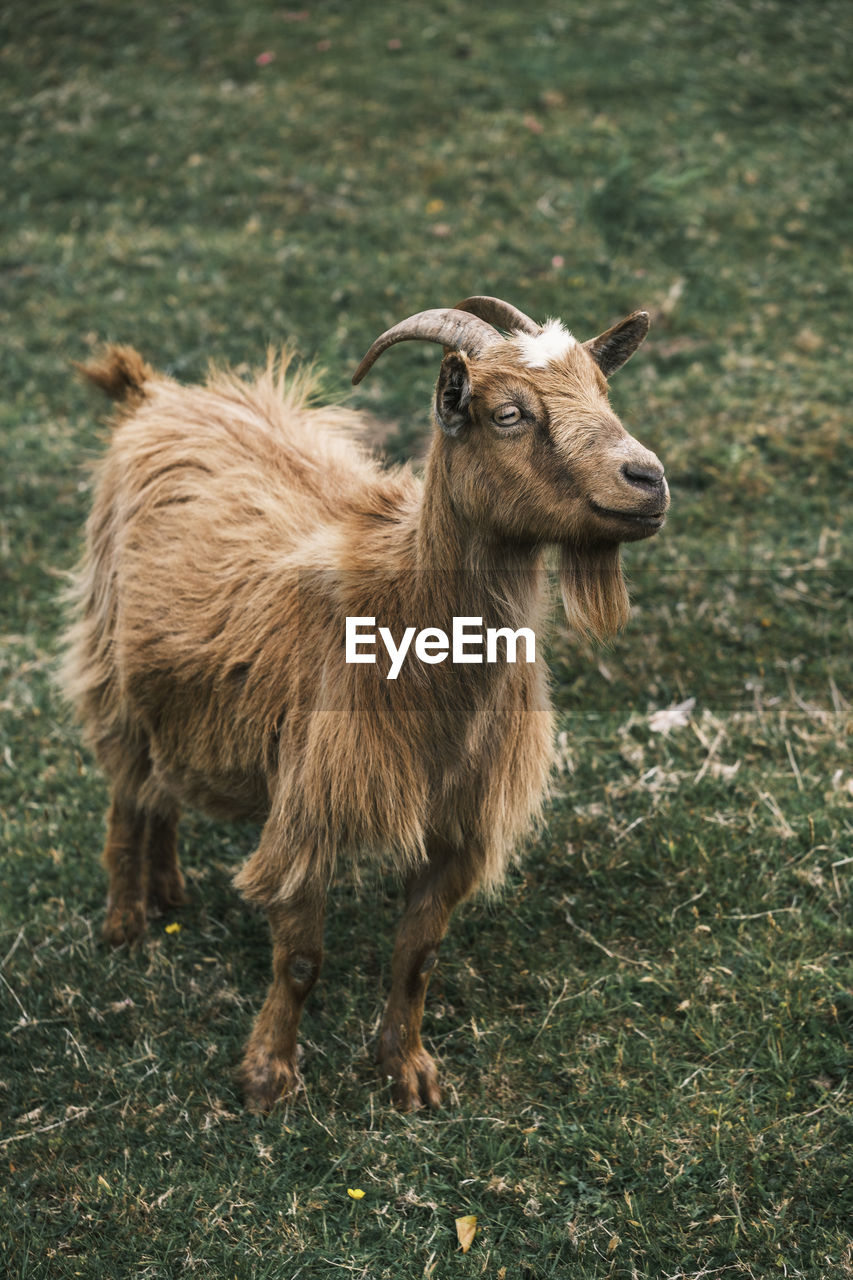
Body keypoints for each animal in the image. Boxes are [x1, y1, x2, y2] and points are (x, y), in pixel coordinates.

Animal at [63, 299, 666, 1111]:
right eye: (507, 414)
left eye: (604, 392)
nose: (648, 480)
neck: (403, 613)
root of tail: (155, 395)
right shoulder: (310, 808)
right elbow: (300, 960)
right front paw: (267, 1078)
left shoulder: (459, 828)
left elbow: (417, 955)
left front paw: (405, 1071)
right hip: (109, 659)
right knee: (128, 793)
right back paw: (127, 921)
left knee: (162, 786)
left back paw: (168, 892)